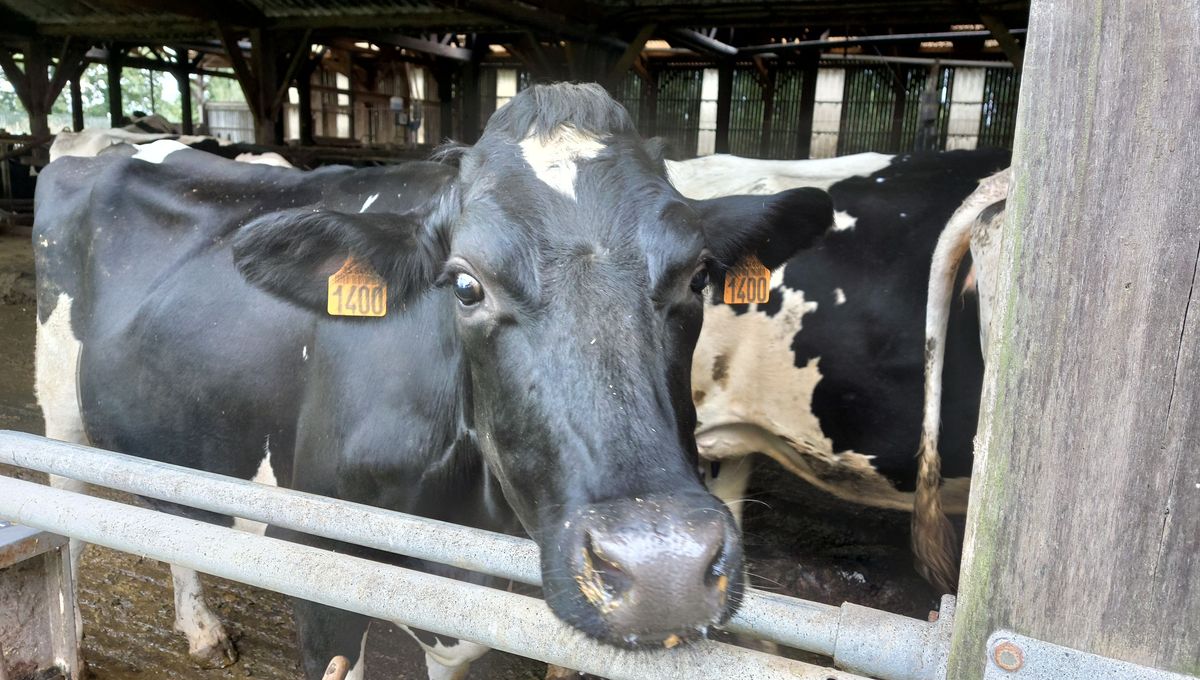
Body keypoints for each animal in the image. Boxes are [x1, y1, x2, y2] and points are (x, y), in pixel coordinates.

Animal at [30, 83, 835, 680]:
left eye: (698, 277)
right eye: (465, 285)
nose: (663, 570)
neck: (470, 509)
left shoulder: (457, 597)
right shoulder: (318, 566)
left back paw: (200, 628)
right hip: (61, 418)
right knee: (68, 521)